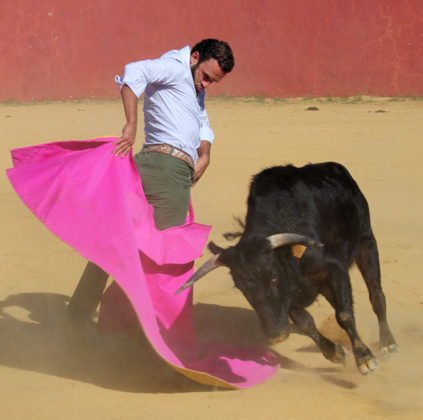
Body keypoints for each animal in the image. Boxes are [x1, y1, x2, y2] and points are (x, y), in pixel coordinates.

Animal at [177, 161, 400, 374]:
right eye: (242, 288)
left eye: (274, 276)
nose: (276, 335)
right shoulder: (290, 298)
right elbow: (306, 323)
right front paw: (335, 352)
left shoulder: (334, 267)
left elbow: (344, 314)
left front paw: (365, 359)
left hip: (367, 241)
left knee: (376, 296)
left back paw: (388, 344)